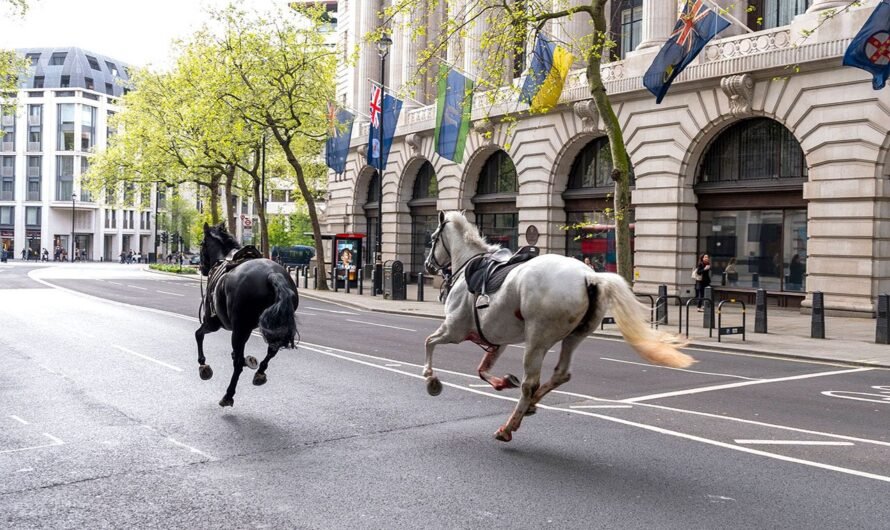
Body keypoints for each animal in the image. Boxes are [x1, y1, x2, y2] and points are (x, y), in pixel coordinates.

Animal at [194, 221, 298, 406]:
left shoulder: (213, 323)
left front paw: (203, 365)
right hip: (271, 326)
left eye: (201, 244)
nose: (202, 268)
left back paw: (228, 395)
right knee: (272, 350)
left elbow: (198, 334)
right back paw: (260, 373)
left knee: (237, 364)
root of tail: (272, 274)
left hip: (239, 329)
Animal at [424, 210, 692, 442]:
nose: (427, 266)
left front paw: (431, 379)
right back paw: (530, 406)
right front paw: (502, 382)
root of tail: (590, 276)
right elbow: (482, 369)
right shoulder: (497, 339)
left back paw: (509, 426)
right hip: (574, 336)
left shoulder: (454, 329)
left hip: (537, 339)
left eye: (432, 238)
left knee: (530, 383)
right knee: (560, 374)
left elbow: (429, 342)